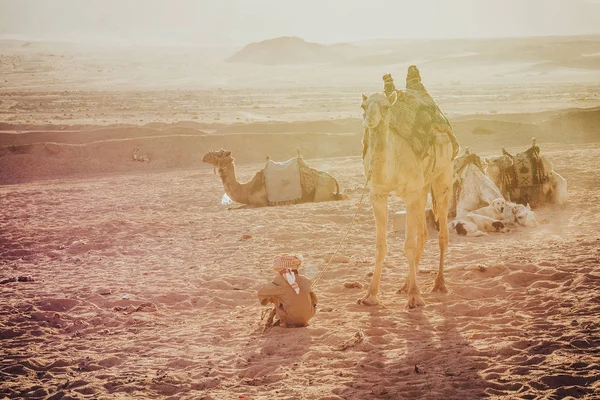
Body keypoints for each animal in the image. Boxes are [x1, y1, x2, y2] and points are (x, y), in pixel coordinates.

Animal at [204, 148, 350, 208]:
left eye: (219, 154)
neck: (247, 188)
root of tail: (333, 178)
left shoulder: (260, 202)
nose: (204, 156)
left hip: (321, 192)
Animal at [358, 66, 458, 310]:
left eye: (386, 107)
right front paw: (370, 295)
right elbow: (380, 245)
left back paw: (439, 283)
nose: (370, 120)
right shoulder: (377, 195)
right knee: (423, 233)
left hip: (443, 177)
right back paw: (404, 285)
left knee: (441, 233)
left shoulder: (410, 193)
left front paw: (415, 297)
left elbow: (409, 245)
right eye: (364, 107)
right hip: (422, 188)